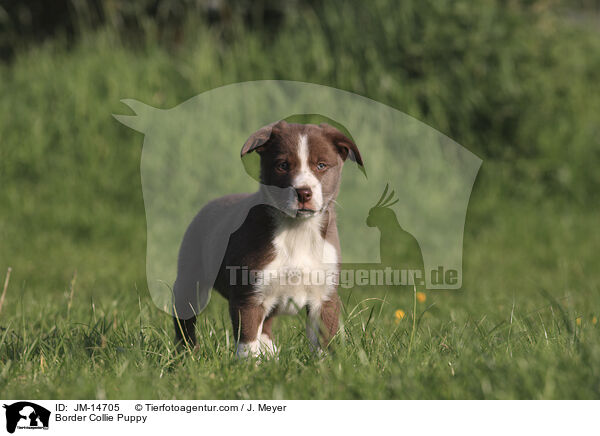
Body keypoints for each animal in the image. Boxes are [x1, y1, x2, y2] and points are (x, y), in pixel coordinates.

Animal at [171, 120, 364, 358]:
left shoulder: (325, 296)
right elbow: (247, 340)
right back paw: (187, 353)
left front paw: (325, 364)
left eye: (321, 165)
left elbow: (324, 339)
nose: (303, 193)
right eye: (282, 165)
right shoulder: (249, 295)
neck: (297, 230)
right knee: (185, 316)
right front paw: (249, 365)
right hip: (190, 276)